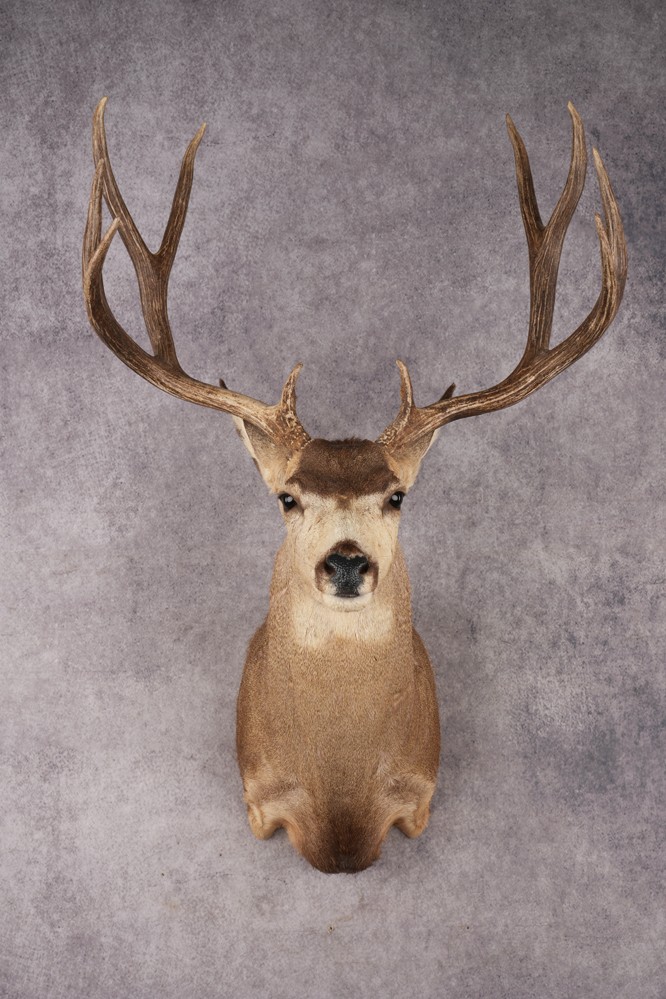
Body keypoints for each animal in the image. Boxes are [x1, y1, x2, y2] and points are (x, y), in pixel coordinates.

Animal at [83, 98, 626, 873]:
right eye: (287, 496)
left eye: (397, 495)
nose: (345, 562)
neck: (341, 811)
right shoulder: (260, 797)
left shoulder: (418, 795)